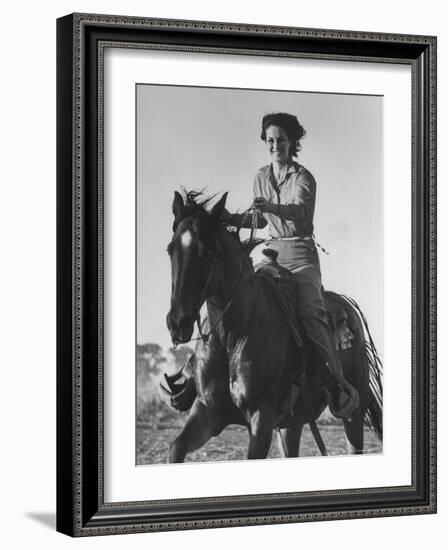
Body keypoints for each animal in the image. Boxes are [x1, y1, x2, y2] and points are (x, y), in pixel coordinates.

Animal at [164, 192, 382, 464]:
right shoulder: (208, 412)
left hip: (354, 413)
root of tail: (347, 307)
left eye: (207, 251)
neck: (233, 336)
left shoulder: (262, 419)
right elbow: (176, 448)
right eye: (170, 249)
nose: (177, 322)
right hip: (292, 423)